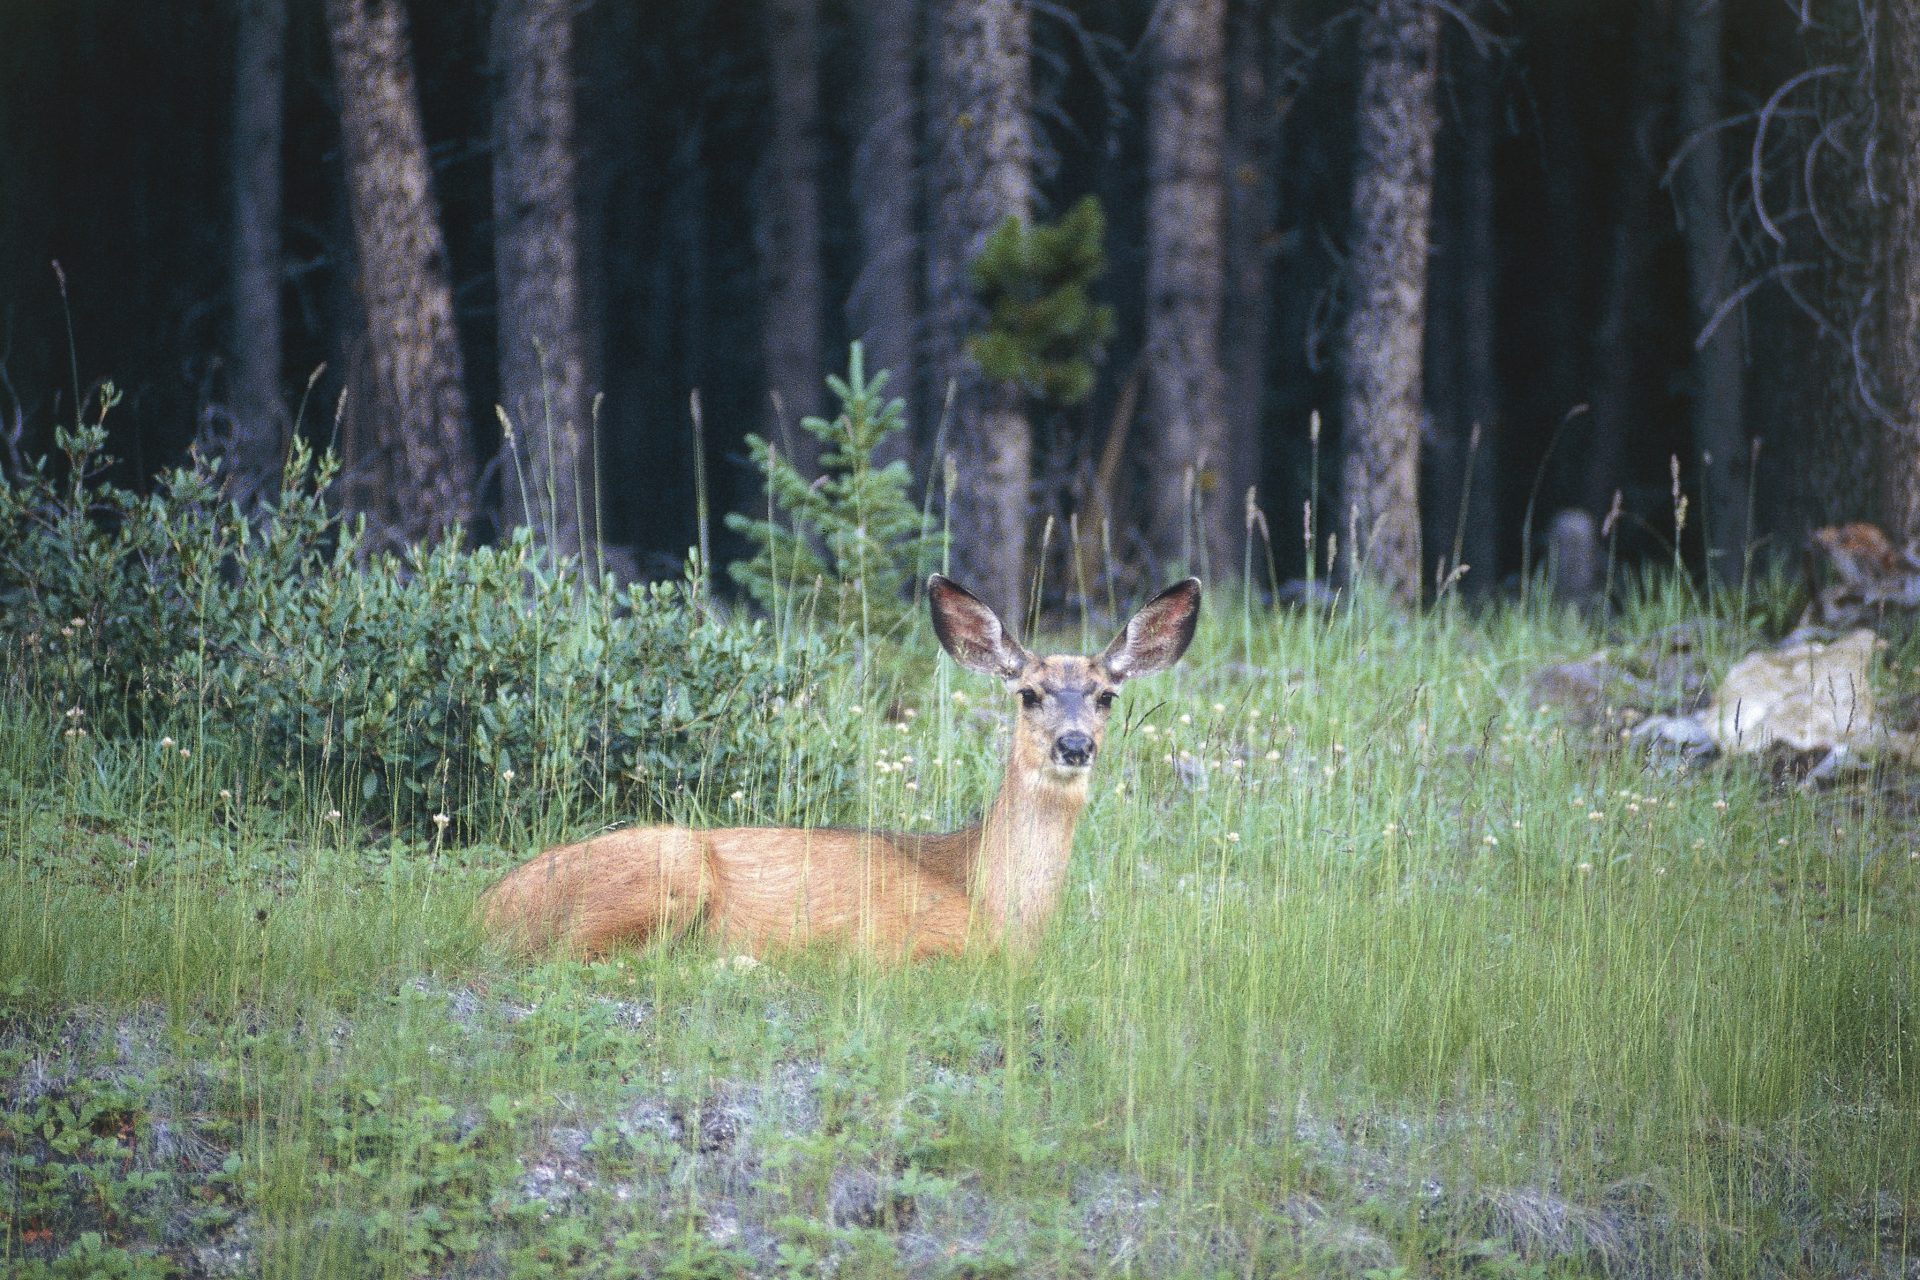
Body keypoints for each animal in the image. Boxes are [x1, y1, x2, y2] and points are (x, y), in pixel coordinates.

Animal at [483, 579, 1198, 959]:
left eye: (1106, 696)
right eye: (1028, 693)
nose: (1074, 745)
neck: (993, 901)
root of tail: (486, 908)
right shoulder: (895, 946)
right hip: (667, 869)